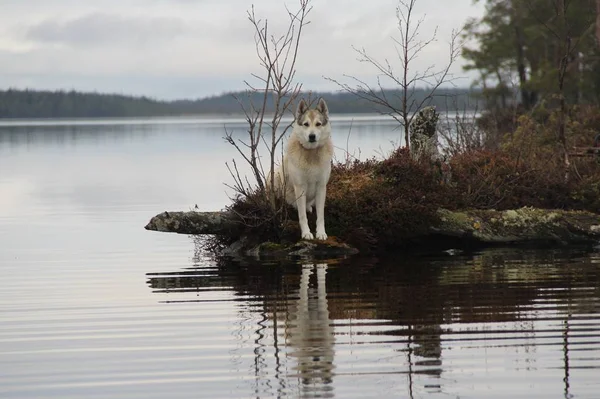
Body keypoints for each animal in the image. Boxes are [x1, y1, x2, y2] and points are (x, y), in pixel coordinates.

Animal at [270, 97, 332, 241]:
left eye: (318, 124)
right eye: (306, 124)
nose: (312, 136)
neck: (311, 153)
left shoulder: (321, 187)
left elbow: (320, 216)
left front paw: (321, 233)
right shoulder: (300, 187)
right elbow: (302, 216)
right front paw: (306, 233)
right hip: (275, 176)